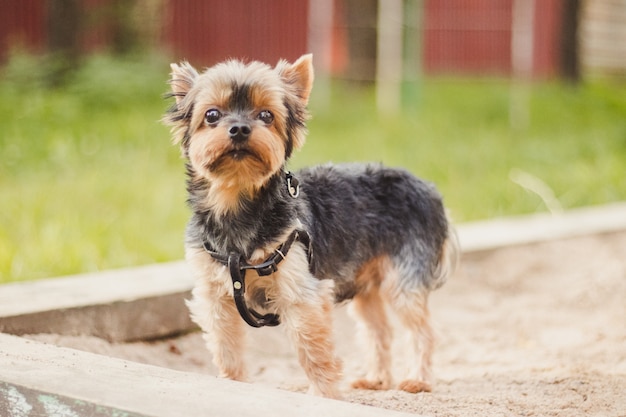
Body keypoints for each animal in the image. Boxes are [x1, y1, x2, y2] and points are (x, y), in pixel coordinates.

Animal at [163, 54, 456, 396]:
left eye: (266, 115)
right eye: (211, 115)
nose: (239, 128)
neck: (236, 203)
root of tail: (429, 189)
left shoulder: (301, 290)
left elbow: (313, 349)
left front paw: (322, 395)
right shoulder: (216, 295)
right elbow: (227, 346)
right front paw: (232, 383)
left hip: (404, 277)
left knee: (422, 330)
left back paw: (418, 380)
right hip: (365, 280)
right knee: (378, 329)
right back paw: (376, 379)